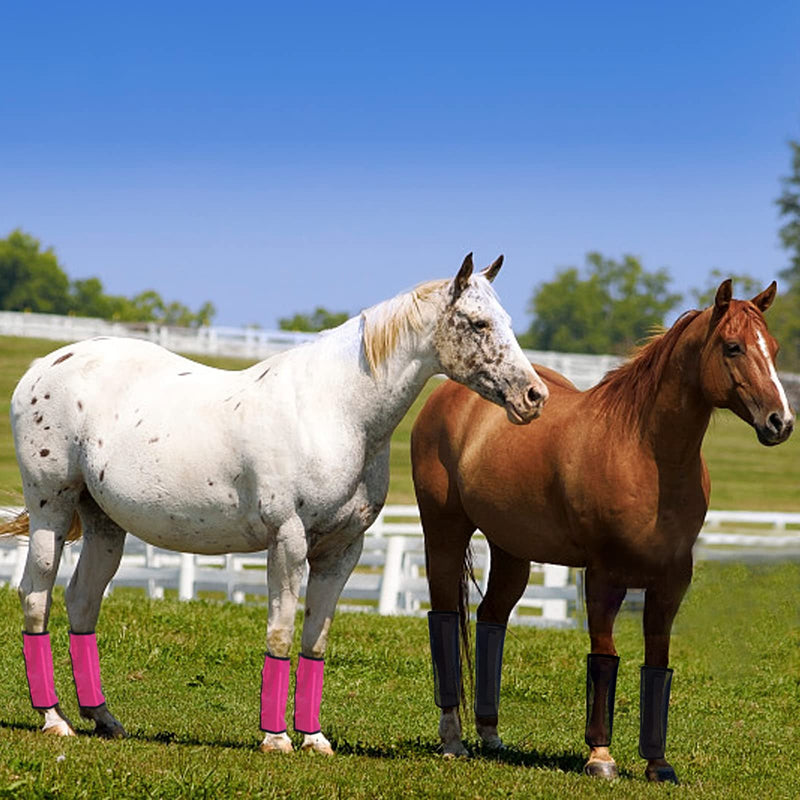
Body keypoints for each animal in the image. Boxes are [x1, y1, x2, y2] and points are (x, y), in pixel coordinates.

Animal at [2, 253, 549, 754]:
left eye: (507, 321)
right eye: (477, 323)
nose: (534, 396)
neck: (337, 412)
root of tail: (41, 369)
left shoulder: (342, 551)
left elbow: (315, 640)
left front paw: (315, 738)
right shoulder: (288, 541)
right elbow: (282, 633)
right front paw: (277, 737)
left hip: (105, 524)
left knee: (82, 601)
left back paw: (103, 718)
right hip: (52, 512)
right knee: (36, 595)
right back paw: (54, 719)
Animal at [411, 280, 794, 783]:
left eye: (774, 348)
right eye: (733, 347)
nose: (781, 422)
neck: (645, 453)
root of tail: (450, 398)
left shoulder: (672, 581)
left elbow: (657, 664)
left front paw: (658, 764)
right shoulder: (603, 576)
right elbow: (604, 657)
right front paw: (601, 757)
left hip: (512, 552)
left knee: (491, 619)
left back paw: (491, 735)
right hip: (444, 533)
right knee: (444, 619)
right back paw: (453, 739)